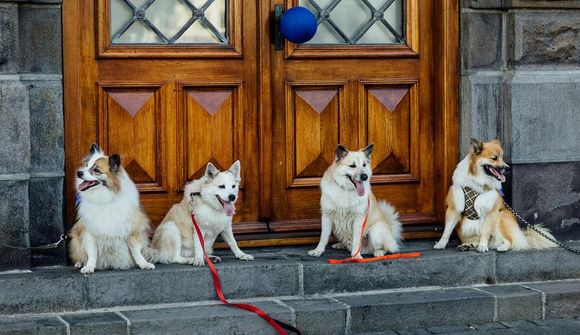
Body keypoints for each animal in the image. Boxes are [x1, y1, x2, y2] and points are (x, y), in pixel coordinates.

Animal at [68, 144, 155, 272]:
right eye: (86, 165)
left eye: (96, 170)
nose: (79, 173)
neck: (104, 199)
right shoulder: (89, 230)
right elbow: (92, 252)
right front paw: (89, 266)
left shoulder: (129, 228)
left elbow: (136, 250)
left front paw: (143, 263)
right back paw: (80, 263)